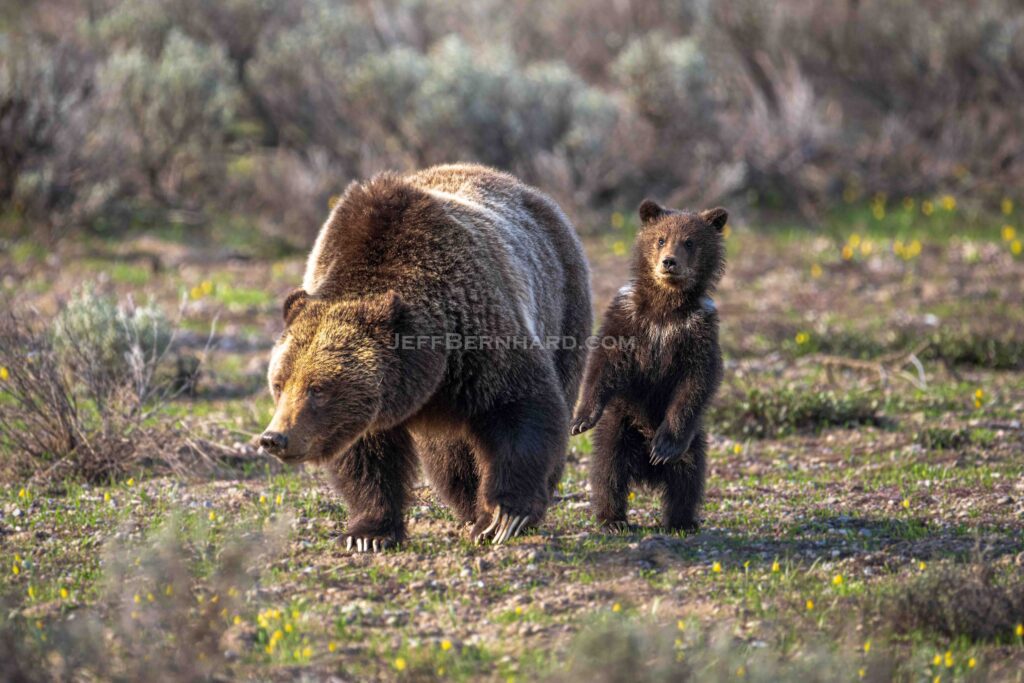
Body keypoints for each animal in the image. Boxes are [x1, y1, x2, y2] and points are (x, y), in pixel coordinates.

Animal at [259, 164, 591, 551]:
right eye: (279, 384)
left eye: (319, 389)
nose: (274, 438)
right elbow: (366, 458)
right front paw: (368, 533)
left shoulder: (477, 338)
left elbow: (520, 407)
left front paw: (504, 516)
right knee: (448, 454)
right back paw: (467, 504)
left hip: (562, 304)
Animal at [570, 199, 726, 532]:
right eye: (661, 239)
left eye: (689, 242)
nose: (669, 262)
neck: (665, 308)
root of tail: (646, 473)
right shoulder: (627, 318)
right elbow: (604, 363)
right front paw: (581, 419)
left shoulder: (698, 329)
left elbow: (697, 380)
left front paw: (663, 447)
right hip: (620, 426)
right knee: (609, 471)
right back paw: (612, 519)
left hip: (694, 441)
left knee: (688, 476)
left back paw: (681, 520)